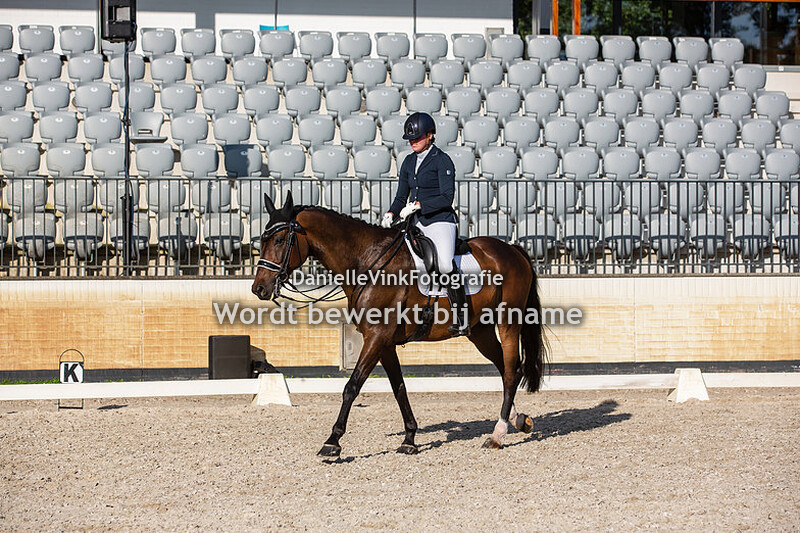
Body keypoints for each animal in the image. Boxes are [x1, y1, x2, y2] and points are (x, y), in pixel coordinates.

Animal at [251, 192, 547, 456]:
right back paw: (518, 421)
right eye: (262, 241)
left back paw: (497, 434)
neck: (368, 262)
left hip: (509, 321)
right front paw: (409, 439)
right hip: (479, 331)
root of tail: (511, 249)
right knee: (507, 368)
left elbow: (352, 386)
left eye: (280, 239)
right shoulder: (384, 343)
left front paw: (332, 442)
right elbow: (399, 388)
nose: (259, 288)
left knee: (510, 373)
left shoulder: (376, 337)